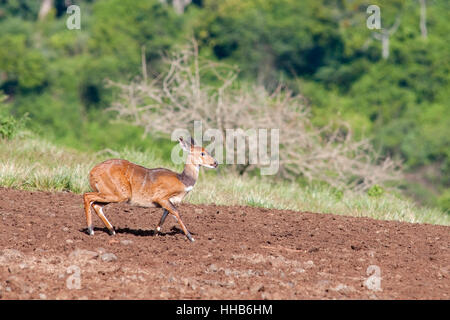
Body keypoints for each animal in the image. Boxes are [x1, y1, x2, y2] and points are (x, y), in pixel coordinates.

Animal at [84, 136, 220, 241]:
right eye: (202, 153)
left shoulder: (167, 202)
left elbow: (164, 217)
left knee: (96, 205)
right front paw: (190, 237)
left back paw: (112, 231)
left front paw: (155, 235)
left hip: (111, 193)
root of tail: (92, 172)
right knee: (87, 196)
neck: (182, 180)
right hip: (119, 193)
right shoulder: (161, 197)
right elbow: (176, 212)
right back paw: (91, 231)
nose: (215, 163)